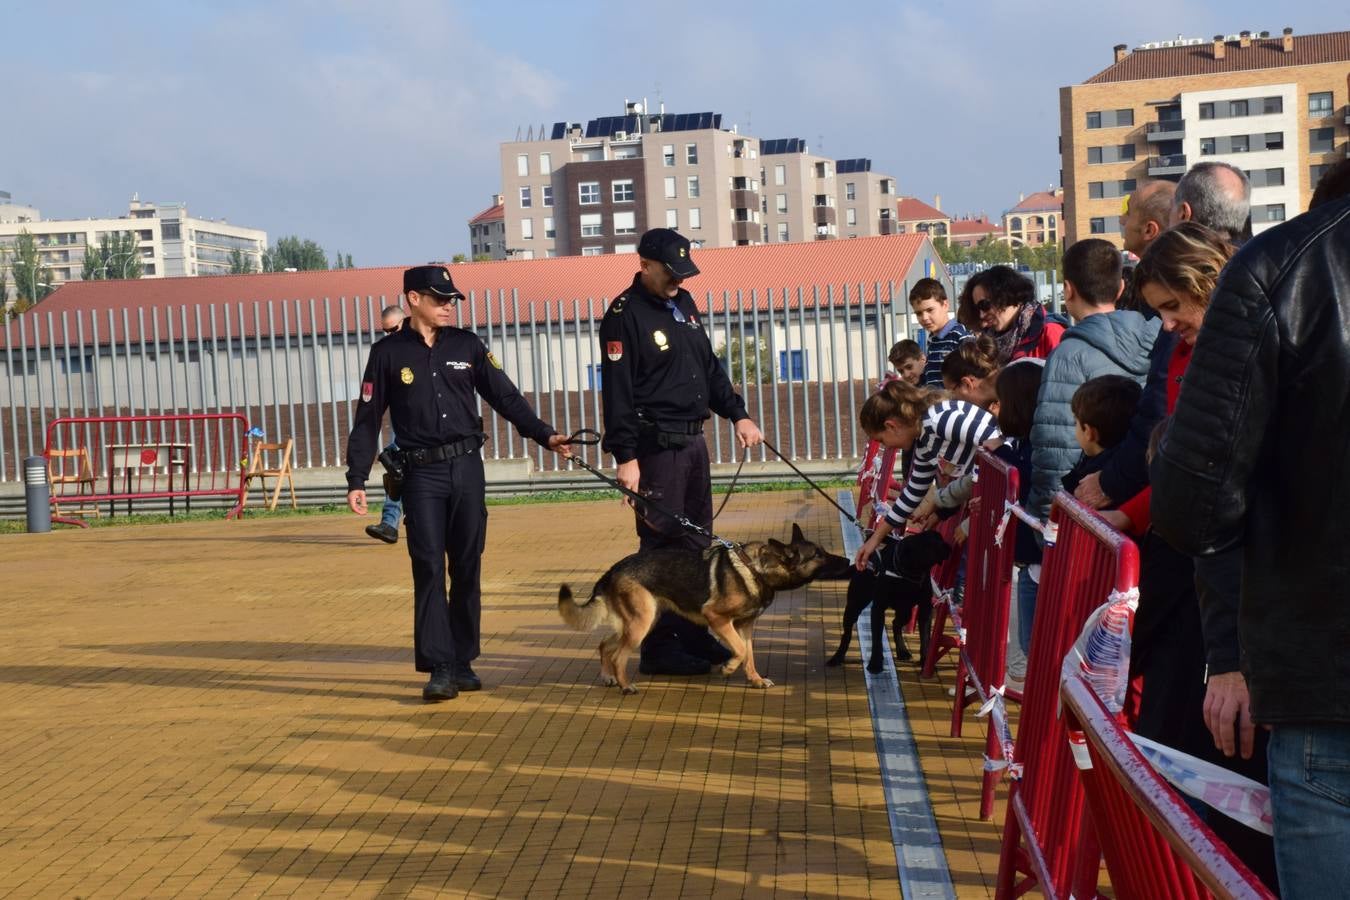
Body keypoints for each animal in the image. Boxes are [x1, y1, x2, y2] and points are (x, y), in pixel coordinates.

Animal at [556, 520, 847, 696]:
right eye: (818, 555)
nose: (847, 560)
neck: (757, 569)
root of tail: (613, 570)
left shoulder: (745, 626)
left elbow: (749, 654)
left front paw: (754, 679)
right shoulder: (717, 618)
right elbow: (740, 651)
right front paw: (728, 668)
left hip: (642, 622)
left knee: (605, 645)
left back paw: (608, 677)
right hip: (641, 624)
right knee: (618, 655)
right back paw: (626, 686)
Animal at [820, 531, 950, 671]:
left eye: (939, 537)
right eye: (928, 545)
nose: (947, 546)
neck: (908, 576)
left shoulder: (925, 609)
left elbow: (925, 638)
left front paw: (925, 661)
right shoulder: (878, 608)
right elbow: (877, 639)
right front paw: (875, 664)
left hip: (906, 611)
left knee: (895, 624)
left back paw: (902, 651)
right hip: (853, 607)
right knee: (847, 634)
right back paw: (837, 657)